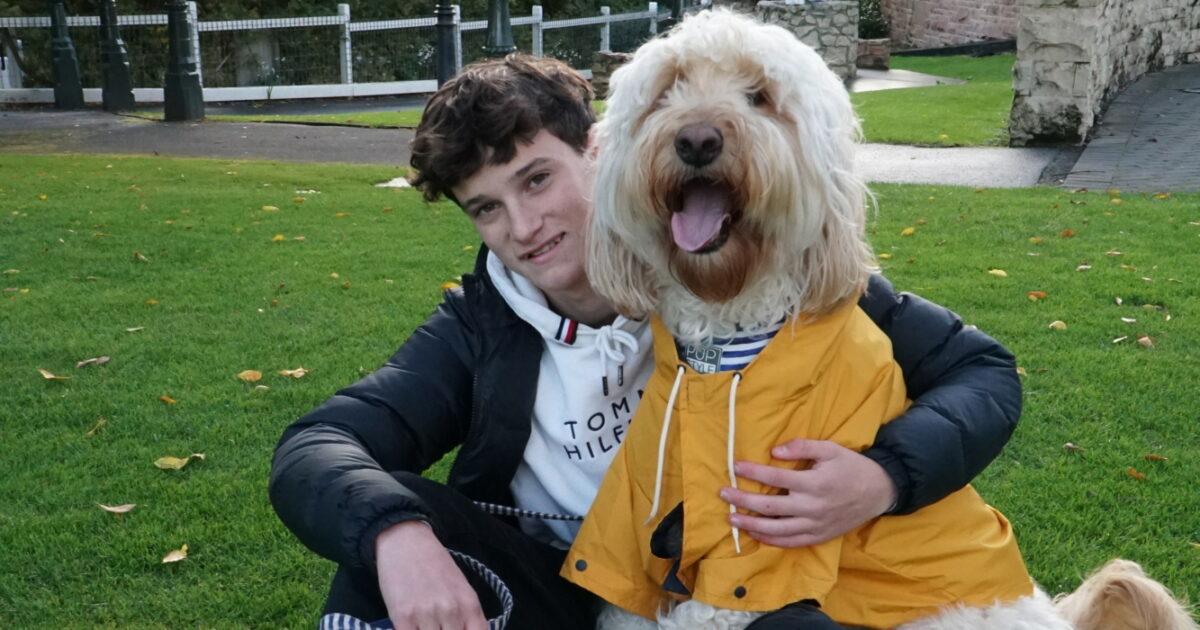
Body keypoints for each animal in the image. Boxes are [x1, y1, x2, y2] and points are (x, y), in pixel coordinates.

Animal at [562, 9, 1198, 630]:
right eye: (669, 90)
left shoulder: (761, 545)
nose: (696, 139)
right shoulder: (636, 508)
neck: (719, 343)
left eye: (759, 96)